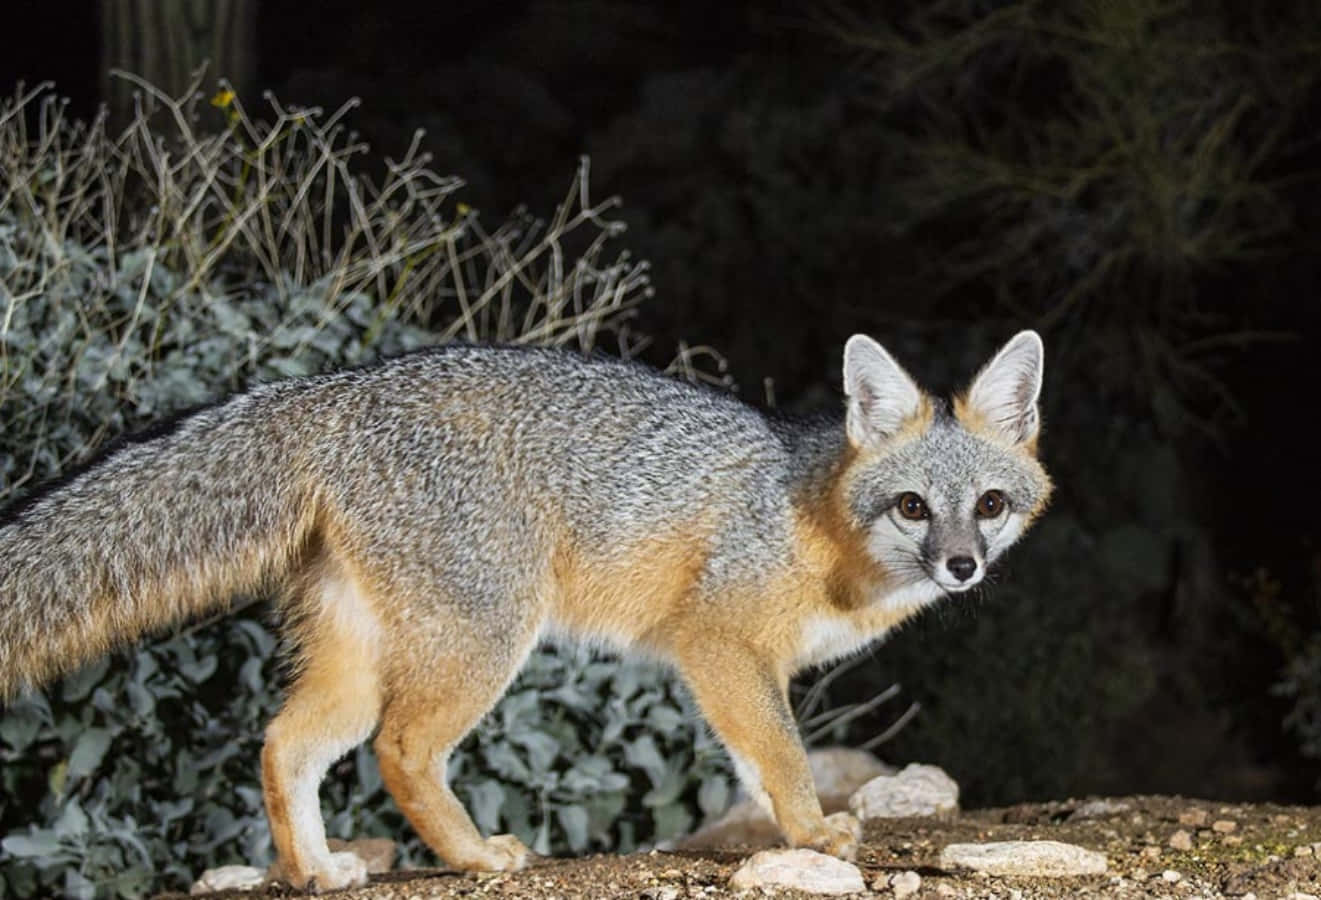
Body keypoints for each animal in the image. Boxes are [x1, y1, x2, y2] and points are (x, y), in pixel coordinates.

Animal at [0, 330, 1051, 892]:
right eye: (911, 506)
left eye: (989, 506)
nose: (960, 567)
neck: (819, 517)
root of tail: (333, 388)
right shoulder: (717, 643)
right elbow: (784, 757)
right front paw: (809, 835)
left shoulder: (739, 668)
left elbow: (753, 762)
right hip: (486, 639)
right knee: (401, 749)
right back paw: (471, 856)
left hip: (365, 655)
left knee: (283, 744)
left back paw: (315, 871)